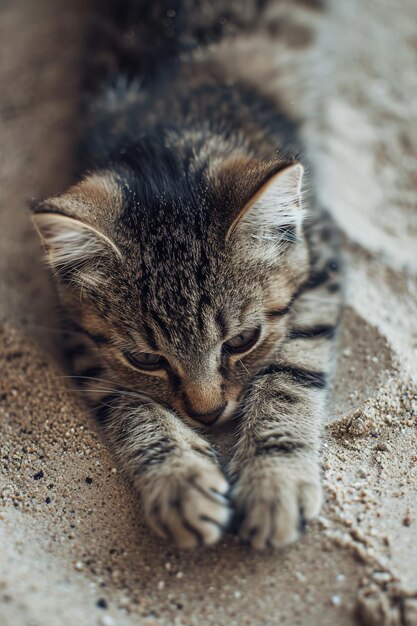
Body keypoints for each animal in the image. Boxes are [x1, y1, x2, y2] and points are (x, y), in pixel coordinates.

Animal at [30, 0, 342, 544]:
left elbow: (290, 369)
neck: (165, 142)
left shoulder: (320, 257)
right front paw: (178, 479)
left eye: (243, 341)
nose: (207, 413)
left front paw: (273, 477)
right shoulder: (79, 333)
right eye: (145, 359)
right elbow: (127, 402)